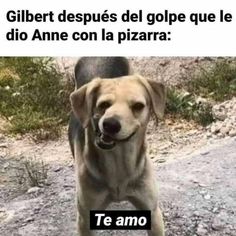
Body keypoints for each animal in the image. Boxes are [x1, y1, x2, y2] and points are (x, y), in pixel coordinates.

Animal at [68, 57, 166, 236]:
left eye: (138, 106)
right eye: (103, 104)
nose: (110, 124)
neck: (118, 161)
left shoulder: (154, 214)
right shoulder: (84, 219)